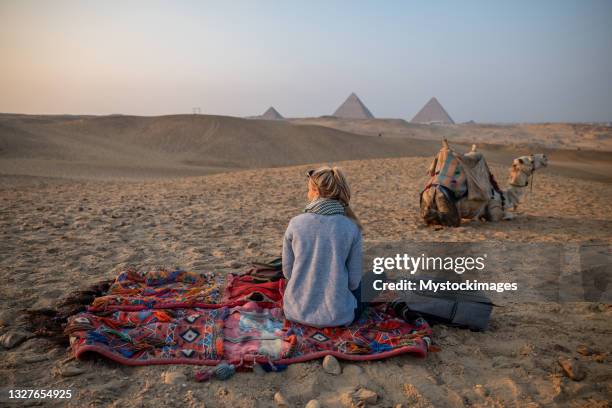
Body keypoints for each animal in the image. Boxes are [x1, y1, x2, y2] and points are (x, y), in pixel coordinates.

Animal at [420, 140, 548, 226]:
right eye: (531, 160)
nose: (544, 156)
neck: (504, 197)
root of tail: (432, 188)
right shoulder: (494, 211)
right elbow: (509, 215)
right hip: (443, 198)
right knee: (452, 219)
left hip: (427, 198)